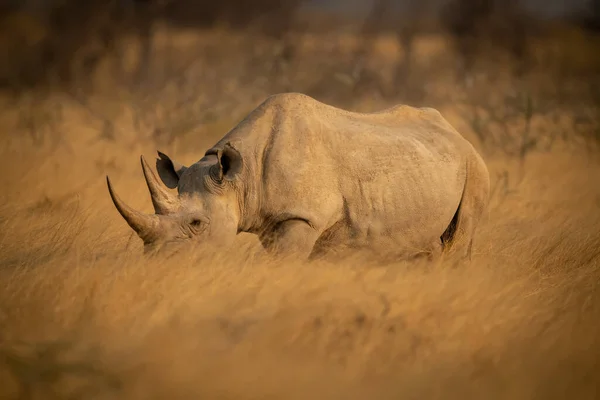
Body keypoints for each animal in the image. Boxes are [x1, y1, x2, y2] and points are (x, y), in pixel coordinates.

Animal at [108, 94, 490, 262]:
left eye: (198, 224)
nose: (158, 261)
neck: (238, 178)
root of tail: (457, 134)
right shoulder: (273, 220)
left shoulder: (302, 217)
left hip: (474, 167)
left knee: (460, 238)